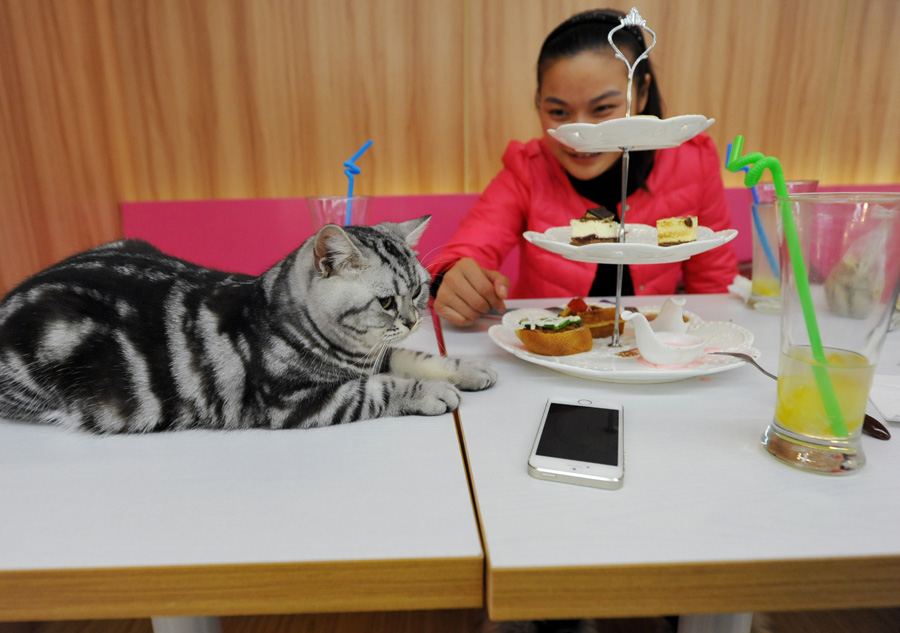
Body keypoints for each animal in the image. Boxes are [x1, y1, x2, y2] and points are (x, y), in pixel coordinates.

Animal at [0, 215, 500, 432]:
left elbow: (412, 356)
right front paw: (434, 391)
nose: (414, 320)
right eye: (386, 301)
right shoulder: (299, 401)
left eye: (419, 291)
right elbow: (384, 388)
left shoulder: (375, 355)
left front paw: (467, 367)